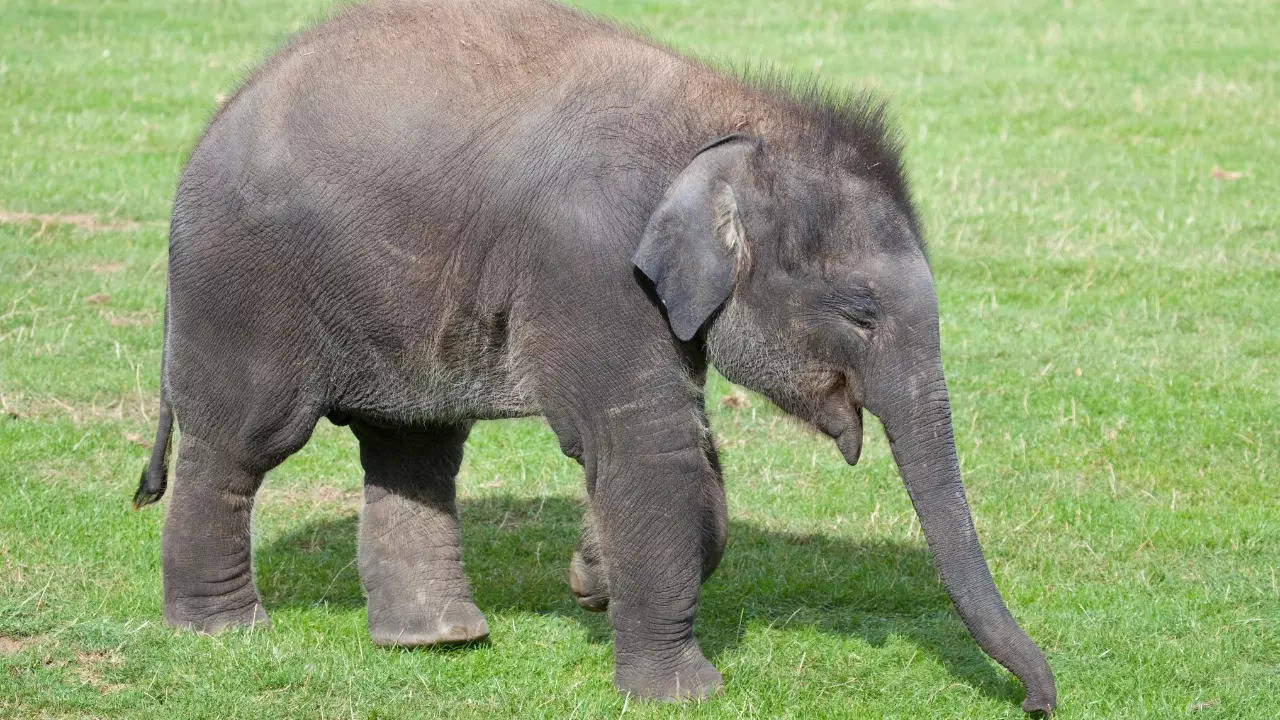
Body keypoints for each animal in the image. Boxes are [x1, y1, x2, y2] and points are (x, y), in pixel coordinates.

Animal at [135, 0, 1059, 707]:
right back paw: (225, 633)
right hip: (240, 288)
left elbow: (686, 447)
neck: (727, 120)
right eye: (861, 313)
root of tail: (213, 119)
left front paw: (591, 574)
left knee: (413, 448)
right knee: (243, 442)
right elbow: (646, 443)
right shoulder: (593, 261)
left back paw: (438, 641)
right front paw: (683, 693)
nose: (1039, 701)